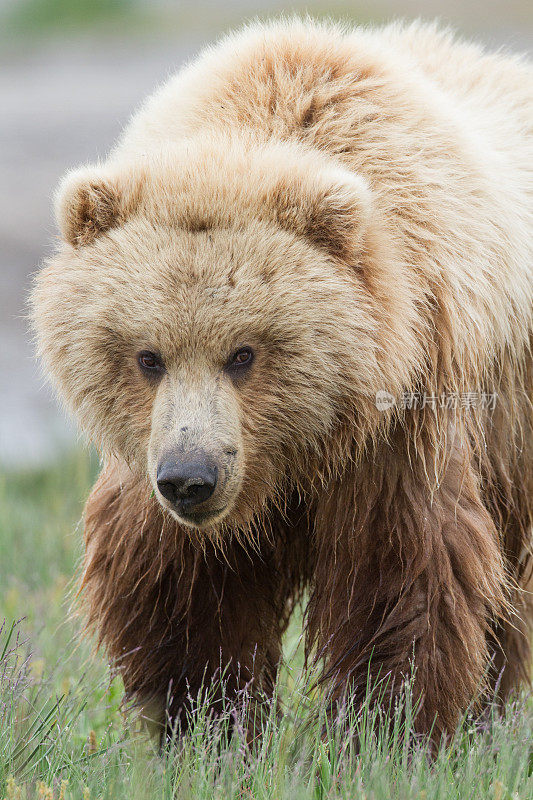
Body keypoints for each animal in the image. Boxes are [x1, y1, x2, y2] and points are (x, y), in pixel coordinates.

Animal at [31, 18, 528, 740]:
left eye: (244, 353)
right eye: (148, 356)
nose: (191, 478)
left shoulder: (404, 421)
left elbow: (400, 573)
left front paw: (384, 726)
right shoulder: (162, 467)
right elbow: (187, 593)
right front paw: (206, 722)